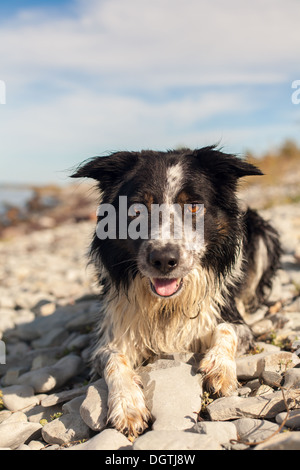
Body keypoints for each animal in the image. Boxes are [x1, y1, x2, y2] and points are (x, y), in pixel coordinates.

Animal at [72, 147, 282, 436]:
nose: (163, 259)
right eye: (137, 209)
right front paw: (127, 405)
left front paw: (220, 370)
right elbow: (114, 358)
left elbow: (226, 329)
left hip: (261, 230)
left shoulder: (228, 314)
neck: (167, 305)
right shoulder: (114, 332)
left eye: (193, 206)